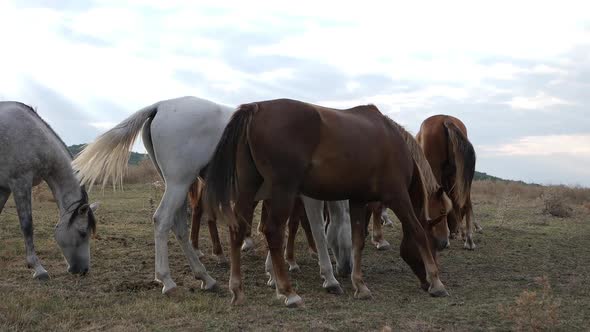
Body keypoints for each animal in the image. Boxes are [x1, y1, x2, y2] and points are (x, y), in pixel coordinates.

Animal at [0, 102, 99, 278]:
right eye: (82, 233)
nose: (84, 270)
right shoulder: (20, 183)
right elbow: (27, 225)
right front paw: (38, 268)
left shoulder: (4, 187)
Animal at [205, 98, 454, 306]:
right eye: (442, 215)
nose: (425, 282)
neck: (392, 140)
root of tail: (256, 107)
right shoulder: (398, 196)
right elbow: (417, 230)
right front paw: (437, 283)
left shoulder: (358, 200)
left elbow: (357, 241)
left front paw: (360, 285)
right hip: (282, 191)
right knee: (274, 232)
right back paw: (288, 292)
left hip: (250, 189)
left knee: (238, 230)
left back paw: (237, 290)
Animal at [416, 115, 480, 249]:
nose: (454, 232)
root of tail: (445, 119)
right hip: (461, 175)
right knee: (466, 202)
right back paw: (469, 239)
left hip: (436, 169)